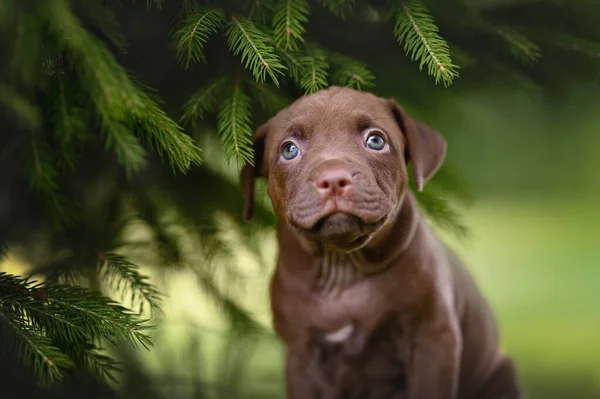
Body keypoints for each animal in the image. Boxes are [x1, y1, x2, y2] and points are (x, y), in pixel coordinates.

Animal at [241, 86, 524, 398]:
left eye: (375, 140)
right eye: (289, 150)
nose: (334, 179)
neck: (344, 266)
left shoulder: (433, 339)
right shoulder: (301, 356)